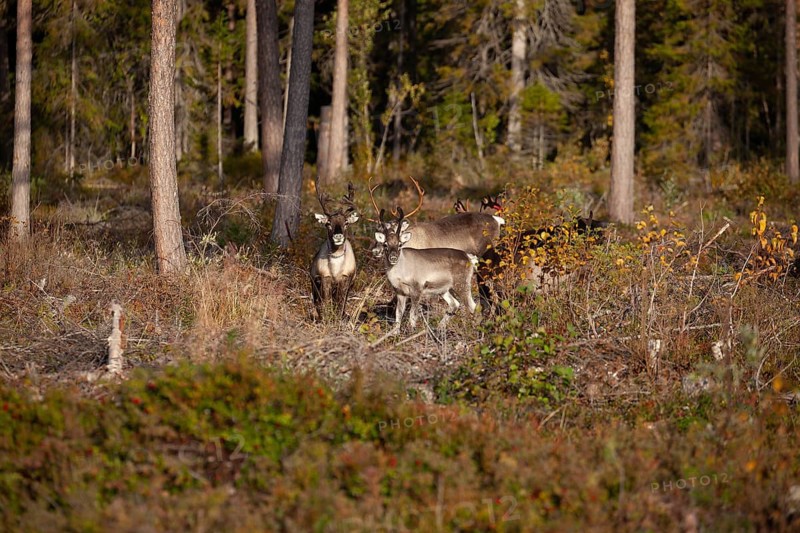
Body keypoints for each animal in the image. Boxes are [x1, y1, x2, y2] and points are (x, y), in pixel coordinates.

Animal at [310, 180, 359, 320]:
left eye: (346, 222)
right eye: (328, 223)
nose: (338, 236)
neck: (335, 271)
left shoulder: (346, 278)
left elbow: (340, 303)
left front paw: (338, 318)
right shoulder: (324, 277)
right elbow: (325, 302)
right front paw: (326, 319)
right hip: (313, 282)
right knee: (317, 300)